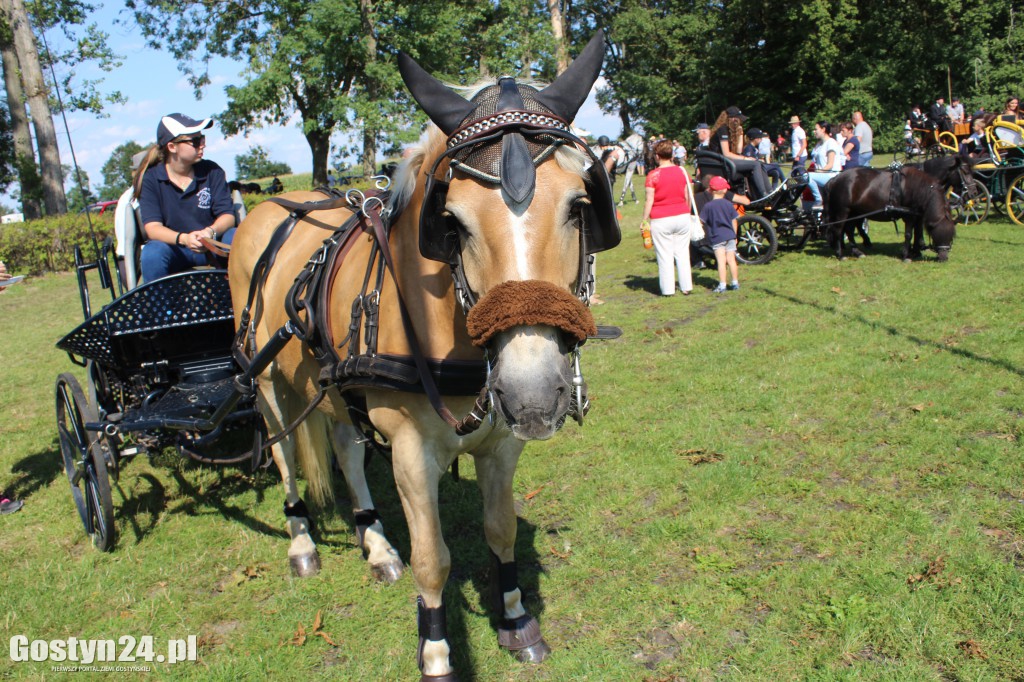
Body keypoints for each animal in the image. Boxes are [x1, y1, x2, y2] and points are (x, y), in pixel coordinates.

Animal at [229, 33, 618, 679]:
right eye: (451, 222)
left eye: (578, 205)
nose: (534, 396)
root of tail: (269, 207)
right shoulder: (410, 450)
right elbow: (433, 558)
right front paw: (435, 650)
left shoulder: (501, 442)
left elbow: (500, 529)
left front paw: (516, 618)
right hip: (266, 385)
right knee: (285, 453)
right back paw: (303, 542)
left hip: (337, 388)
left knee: (346, 449)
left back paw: (376, 545)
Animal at [819, 164, 954, 260]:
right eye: (939, 233)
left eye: (951, 235)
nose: (944, 258)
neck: (918, 188)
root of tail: (835, 179)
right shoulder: (909, 216)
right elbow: (908, 234)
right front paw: (906, 255)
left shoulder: (917, 216)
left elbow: (917, 233)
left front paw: (916, 252)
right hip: (842, 211)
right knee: (838, 230)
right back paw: (840, 254)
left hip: (854, 212)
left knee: (849, 230)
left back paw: (857, 252)